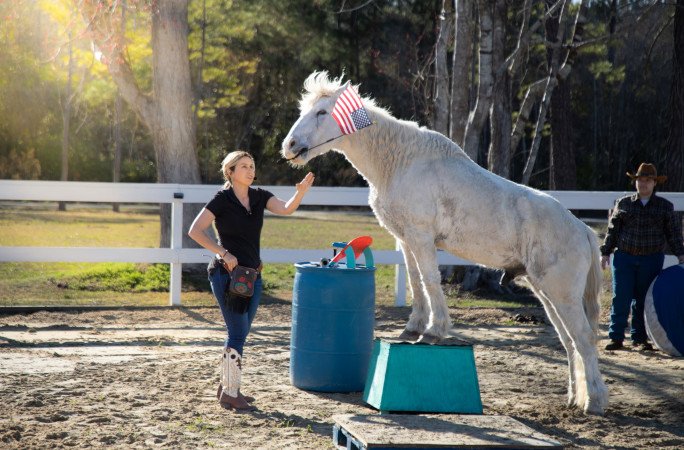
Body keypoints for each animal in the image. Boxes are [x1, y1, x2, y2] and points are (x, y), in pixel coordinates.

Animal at [281, 71, 609, 415]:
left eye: (322, 112)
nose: (289, 145)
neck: (401, 162)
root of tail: (583, 229)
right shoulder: (405, 239)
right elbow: (415, 281)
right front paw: (412, 328)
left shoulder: (421, 237)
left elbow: (429, 280)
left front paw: (432, 332)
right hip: (546, 293)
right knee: (569, 341)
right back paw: (574, 398)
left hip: (562, 294)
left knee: (584, 339)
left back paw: (594, 402)